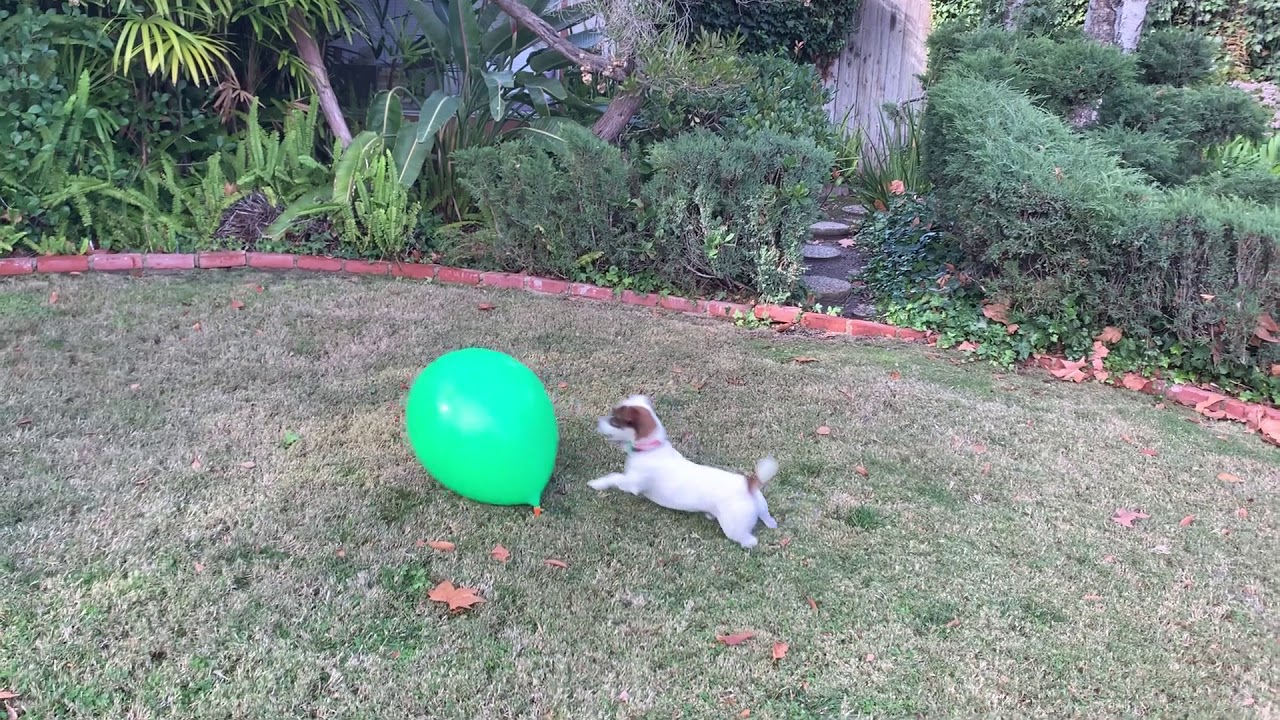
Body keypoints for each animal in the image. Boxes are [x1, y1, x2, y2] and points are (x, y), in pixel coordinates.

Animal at [588, 395, 778, 548]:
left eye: (614, 420)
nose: (598, 421)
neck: (651, 448)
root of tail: (749, 484)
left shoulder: (632, 483)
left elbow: (614, 477)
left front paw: (597, 483)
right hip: (761, 506)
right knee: (768, 518)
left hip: (733, 526)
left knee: (748, 539)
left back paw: (748, 544)